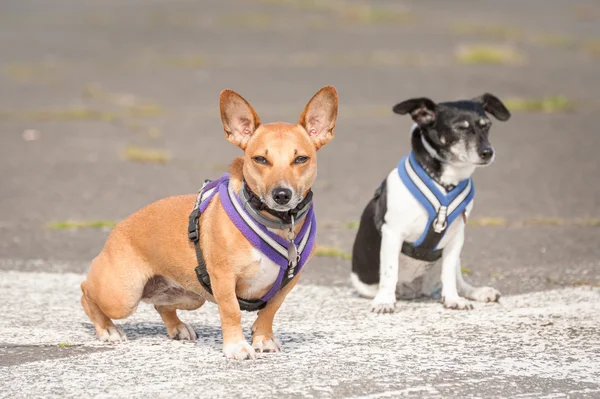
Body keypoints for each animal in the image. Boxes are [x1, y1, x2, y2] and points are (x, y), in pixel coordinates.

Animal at [81, 86, 338, 360]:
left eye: (301, 159)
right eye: (260, 159)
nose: (282, 194)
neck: (275, 222)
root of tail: (117, 230)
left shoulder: (288, 283)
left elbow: (270, 310)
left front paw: (263, 338)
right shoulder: (224, 279)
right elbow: (232, 311)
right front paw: (237, 347)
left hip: (192, 297)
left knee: (161, 305)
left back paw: (178, 327)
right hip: (122, 296)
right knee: (86, 292)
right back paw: (108, 329)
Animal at [352, 95, 510, 314]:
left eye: (487, 126)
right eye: (460, 128)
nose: (488, 152)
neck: (443, 183)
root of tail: (416, 291)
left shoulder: (455, 238)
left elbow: (449, 274)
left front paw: (453, 299)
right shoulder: (392, 234)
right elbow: (390, 271)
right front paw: (384, 301)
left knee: (458, 281)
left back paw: (477, 292)